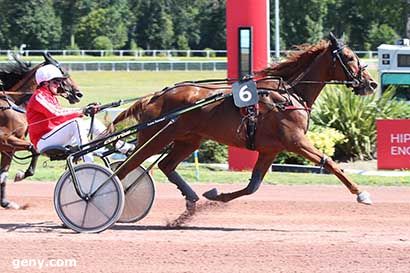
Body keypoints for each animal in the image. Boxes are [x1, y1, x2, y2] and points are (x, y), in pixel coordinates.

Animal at [0, 53, 82, 208]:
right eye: (63, 73)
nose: (79, 93)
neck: (12, 104)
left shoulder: (9, 147)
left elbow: (3, 173)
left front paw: (5, 202)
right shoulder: (5, 140)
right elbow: (34, 149)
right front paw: (22, 174)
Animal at [112, 34, 378, 208]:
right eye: (348, 57)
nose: (372, 83)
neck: (288, 94)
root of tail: (156, 96)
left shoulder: (271, 149)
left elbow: (253, 186)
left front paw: (216, 195)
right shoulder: (295, 141)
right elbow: (330, 162)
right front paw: (361, 193)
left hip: (189, 140)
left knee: (166, 165)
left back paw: (191, 198)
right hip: (156, 138)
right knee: (125, 168)